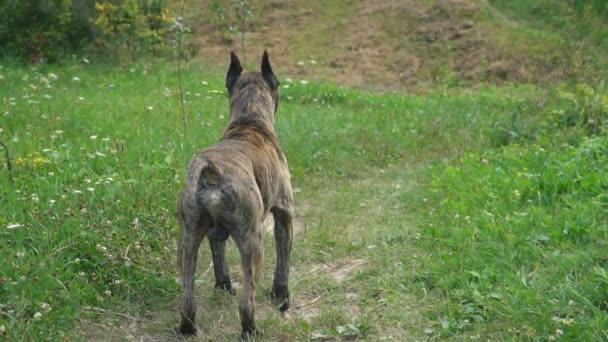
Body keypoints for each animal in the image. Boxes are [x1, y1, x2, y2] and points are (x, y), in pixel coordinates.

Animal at [176, 51, 294, 340]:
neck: (249, 121)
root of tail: (210, 171)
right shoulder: (284, 214)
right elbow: (283, 263)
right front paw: (281, 296)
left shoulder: (212, 233)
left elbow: (218, 257)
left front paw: (223, 286)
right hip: (252, 243)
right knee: (246, 302)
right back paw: (251, 330)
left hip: (187, 241)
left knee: (187, 298)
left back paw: (187, 328)